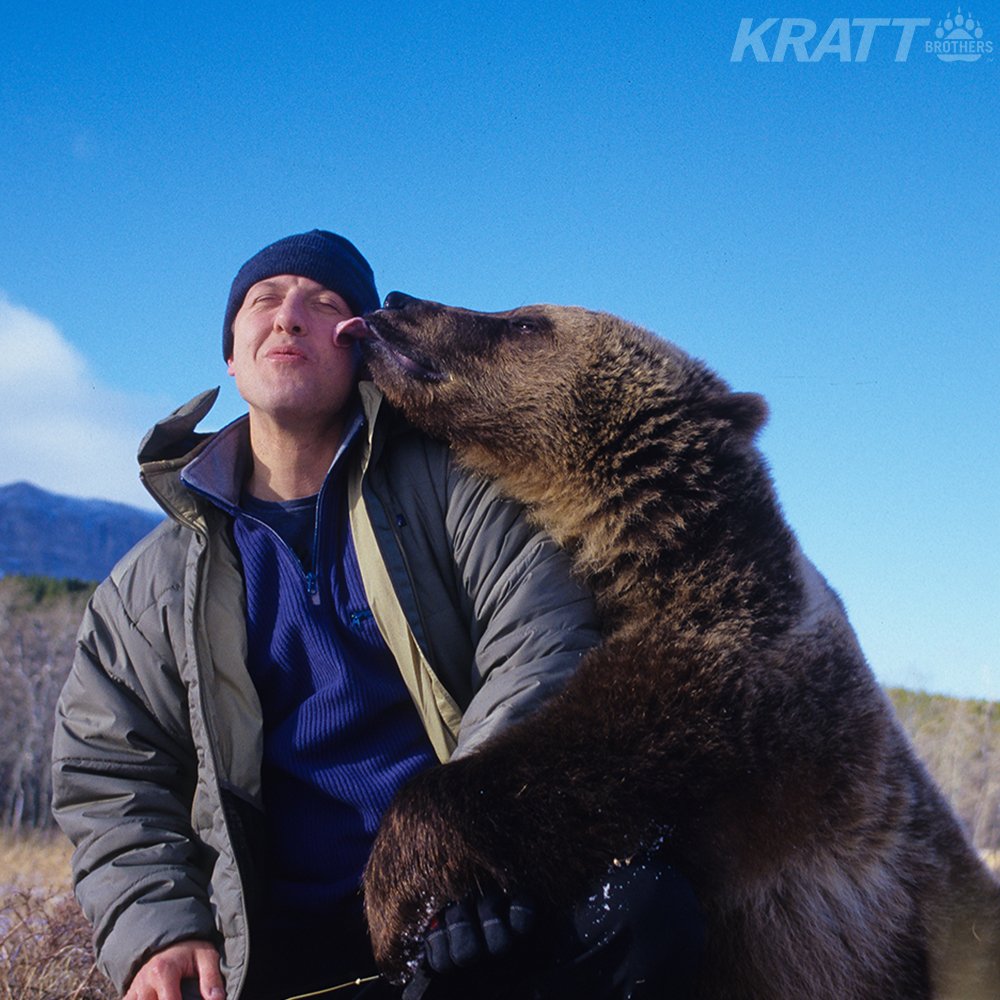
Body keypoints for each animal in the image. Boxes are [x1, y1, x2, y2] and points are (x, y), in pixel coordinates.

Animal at [349, 292, 1000, 999]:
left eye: (524, 321)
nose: (398, 302)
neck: (644, 551)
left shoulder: (745, 692)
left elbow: (588, 760)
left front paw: (395, 894)